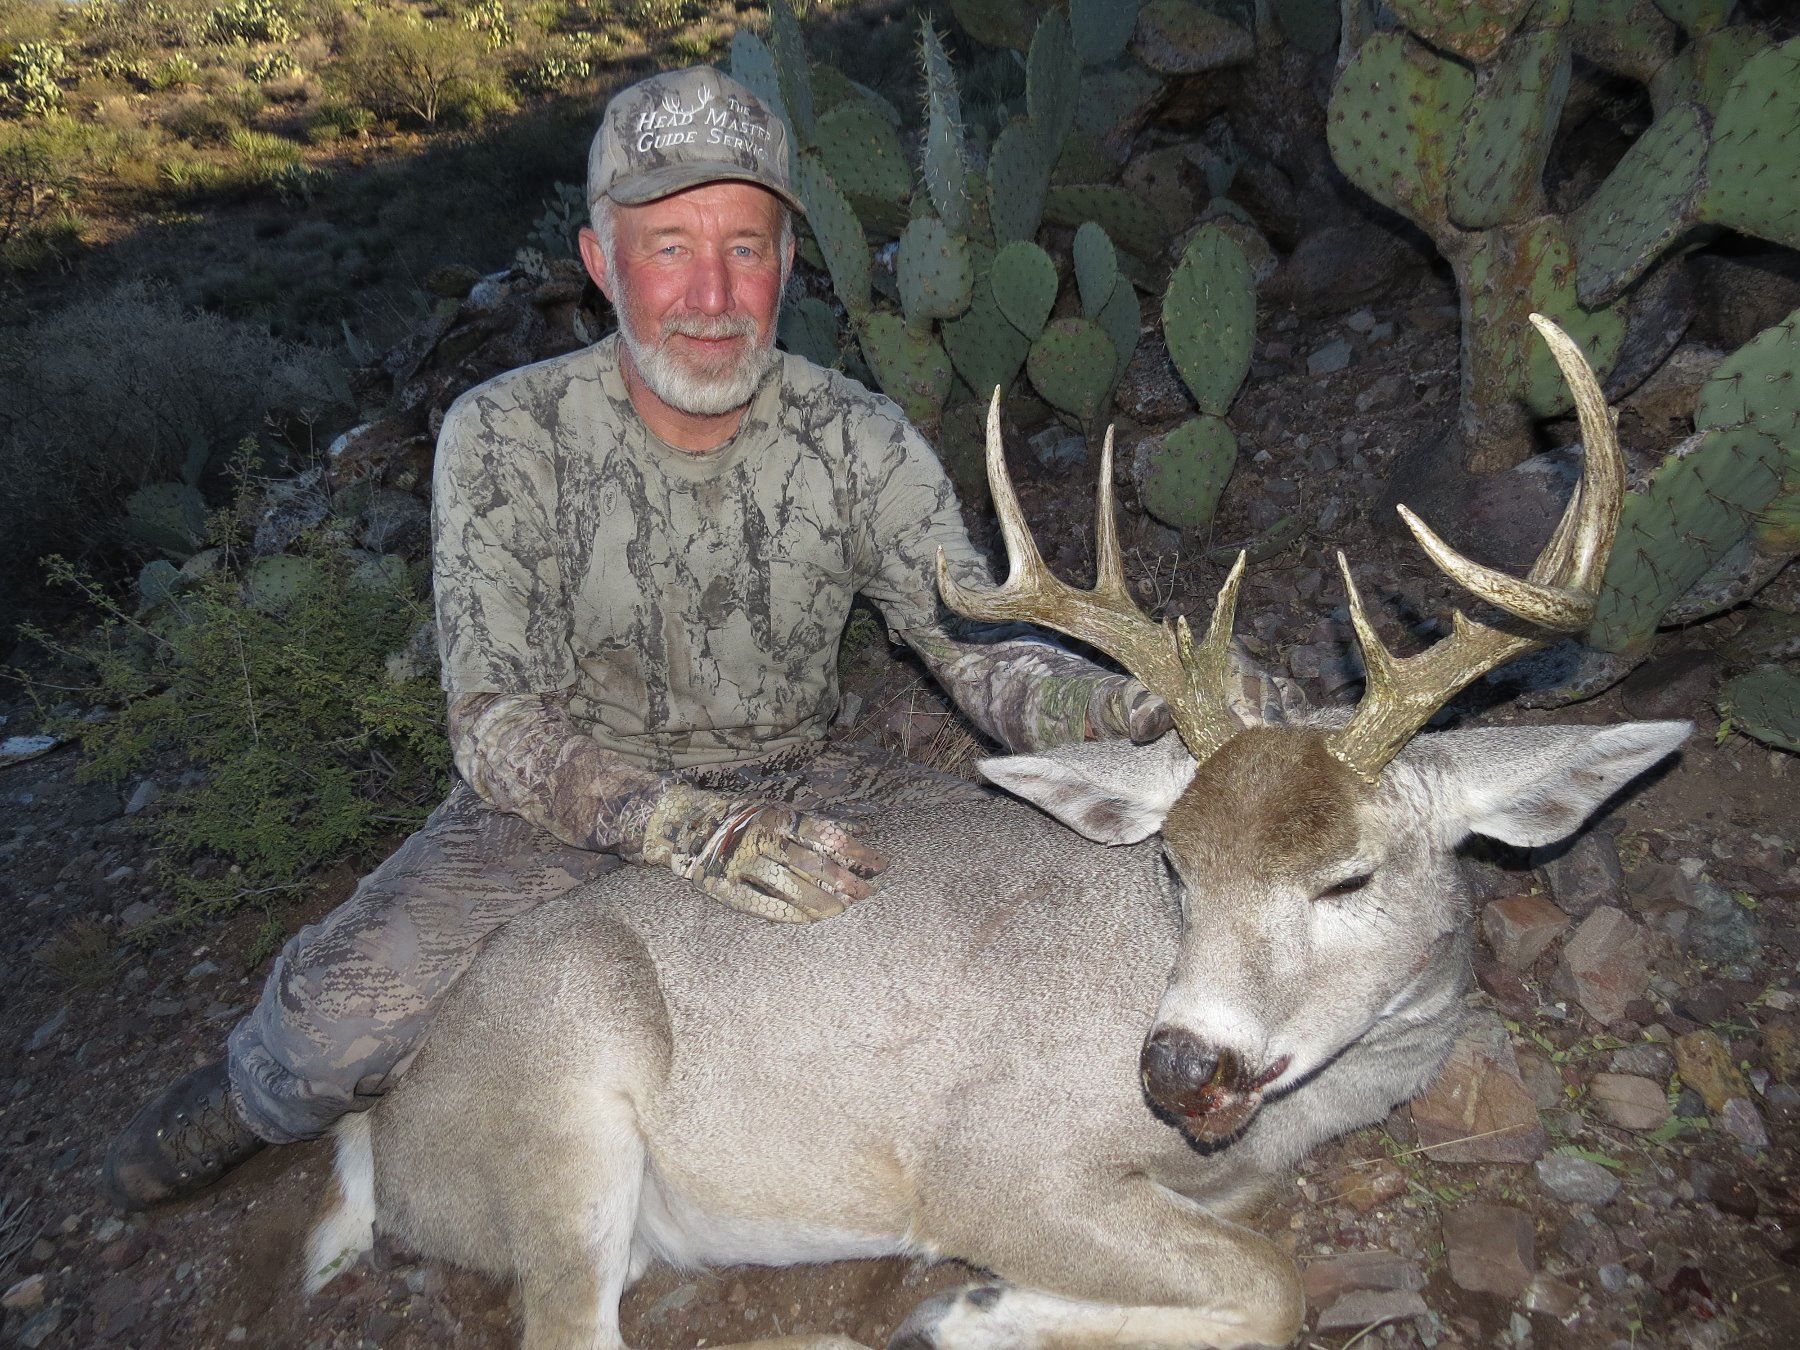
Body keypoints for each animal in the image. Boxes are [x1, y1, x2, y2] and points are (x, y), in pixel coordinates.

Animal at [304, 317, 1690, 1349]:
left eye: (1348, 877)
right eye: (1176, 868)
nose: (1177, 1066)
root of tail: (394, 1131)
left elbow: (1250, 1275)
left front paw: (977, 1307)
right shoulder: (989, 1159)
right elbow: (1271, 1285)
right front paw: (967, 1306)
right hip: (563, 1116)